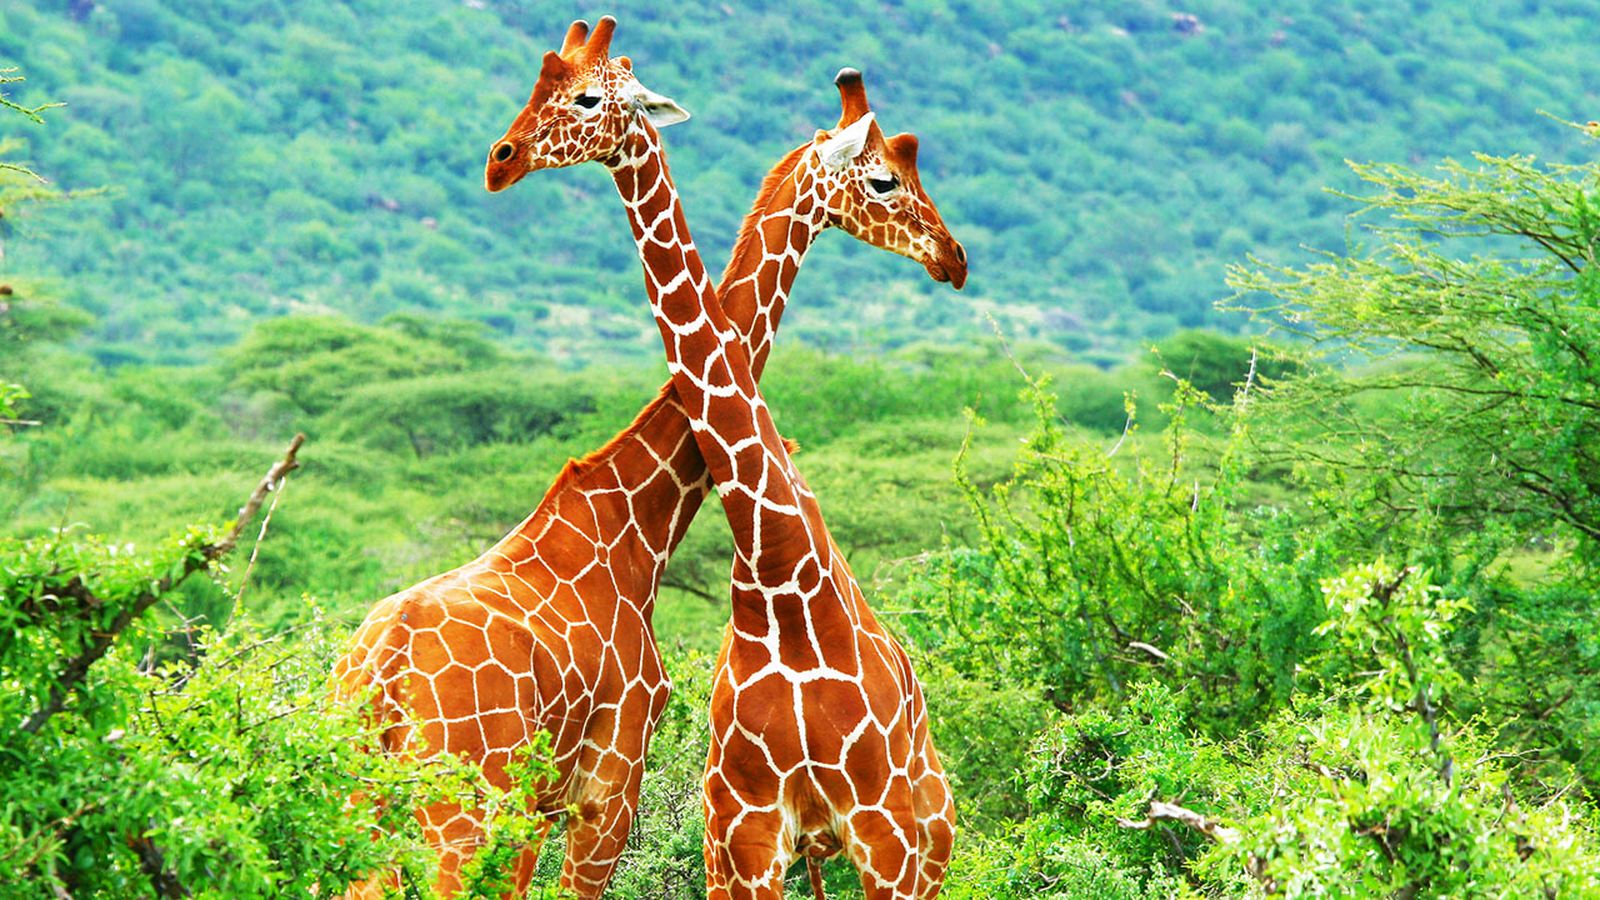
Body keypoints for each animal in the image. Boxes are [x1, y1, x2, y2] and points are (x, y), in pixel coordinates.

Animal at [335, 17, 967, 898]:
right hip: (458, 808)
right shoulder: (611, 785)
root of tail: (380, 673)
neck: (637, 521)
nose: (952, 254)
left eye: (581, 95)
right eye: (885, 180)